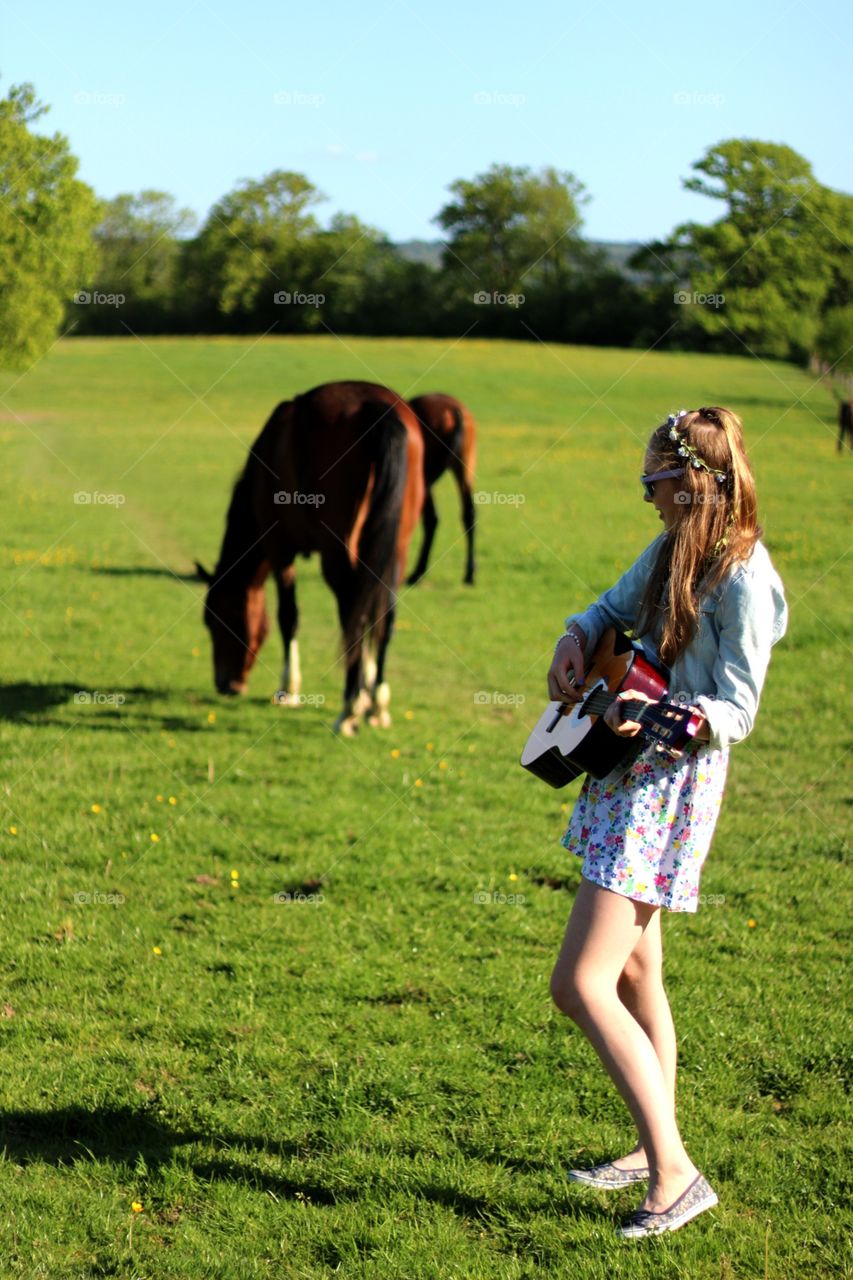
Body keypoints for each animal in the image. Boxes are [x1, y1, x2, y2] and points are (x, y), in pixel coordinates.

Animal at [194, 381, 424, 735]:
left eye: (216, 620)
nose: (225, 684)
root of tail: (377, 410)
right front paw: (371, 691)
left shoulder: (279, 549)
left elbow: (288, 616)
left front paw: (289, 689)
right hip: (397, 547)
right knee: (383, 616)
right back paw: (376, 706)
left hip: (337, 553)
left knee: (352, 615)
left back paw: (349, 709)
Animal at [405, 393, 477, 586]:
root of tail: (452, 409)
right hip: (464, 467)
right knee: (468, 513)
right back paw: (469, 574)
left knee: (431, 518)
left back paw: (417, 572)